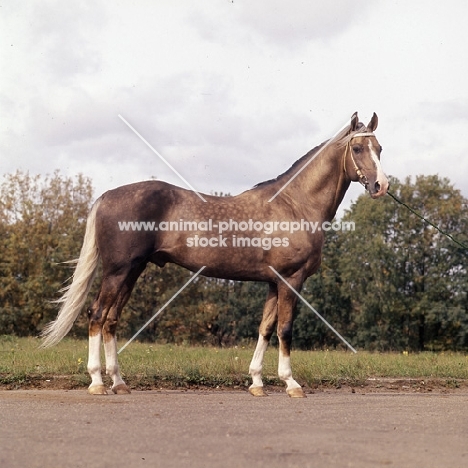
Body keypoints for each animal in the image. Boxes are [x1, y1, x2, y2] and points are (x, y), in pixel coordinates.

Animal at [43, 111, 388, 396]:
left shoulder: (272, 283)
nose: (381, 186)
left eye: (380, 149)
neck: (295, 205)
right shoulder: (291, 280)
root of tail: (106, 196)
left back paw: (119, 382)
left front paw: (257, 382)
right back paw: (97, 382)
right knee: (97, 315)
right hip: (117, 271)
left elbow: (265, 329)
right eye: (358, 149)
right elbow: (285, 330)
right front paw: (291, 383)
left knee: (111, 320)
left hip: (133, 271)